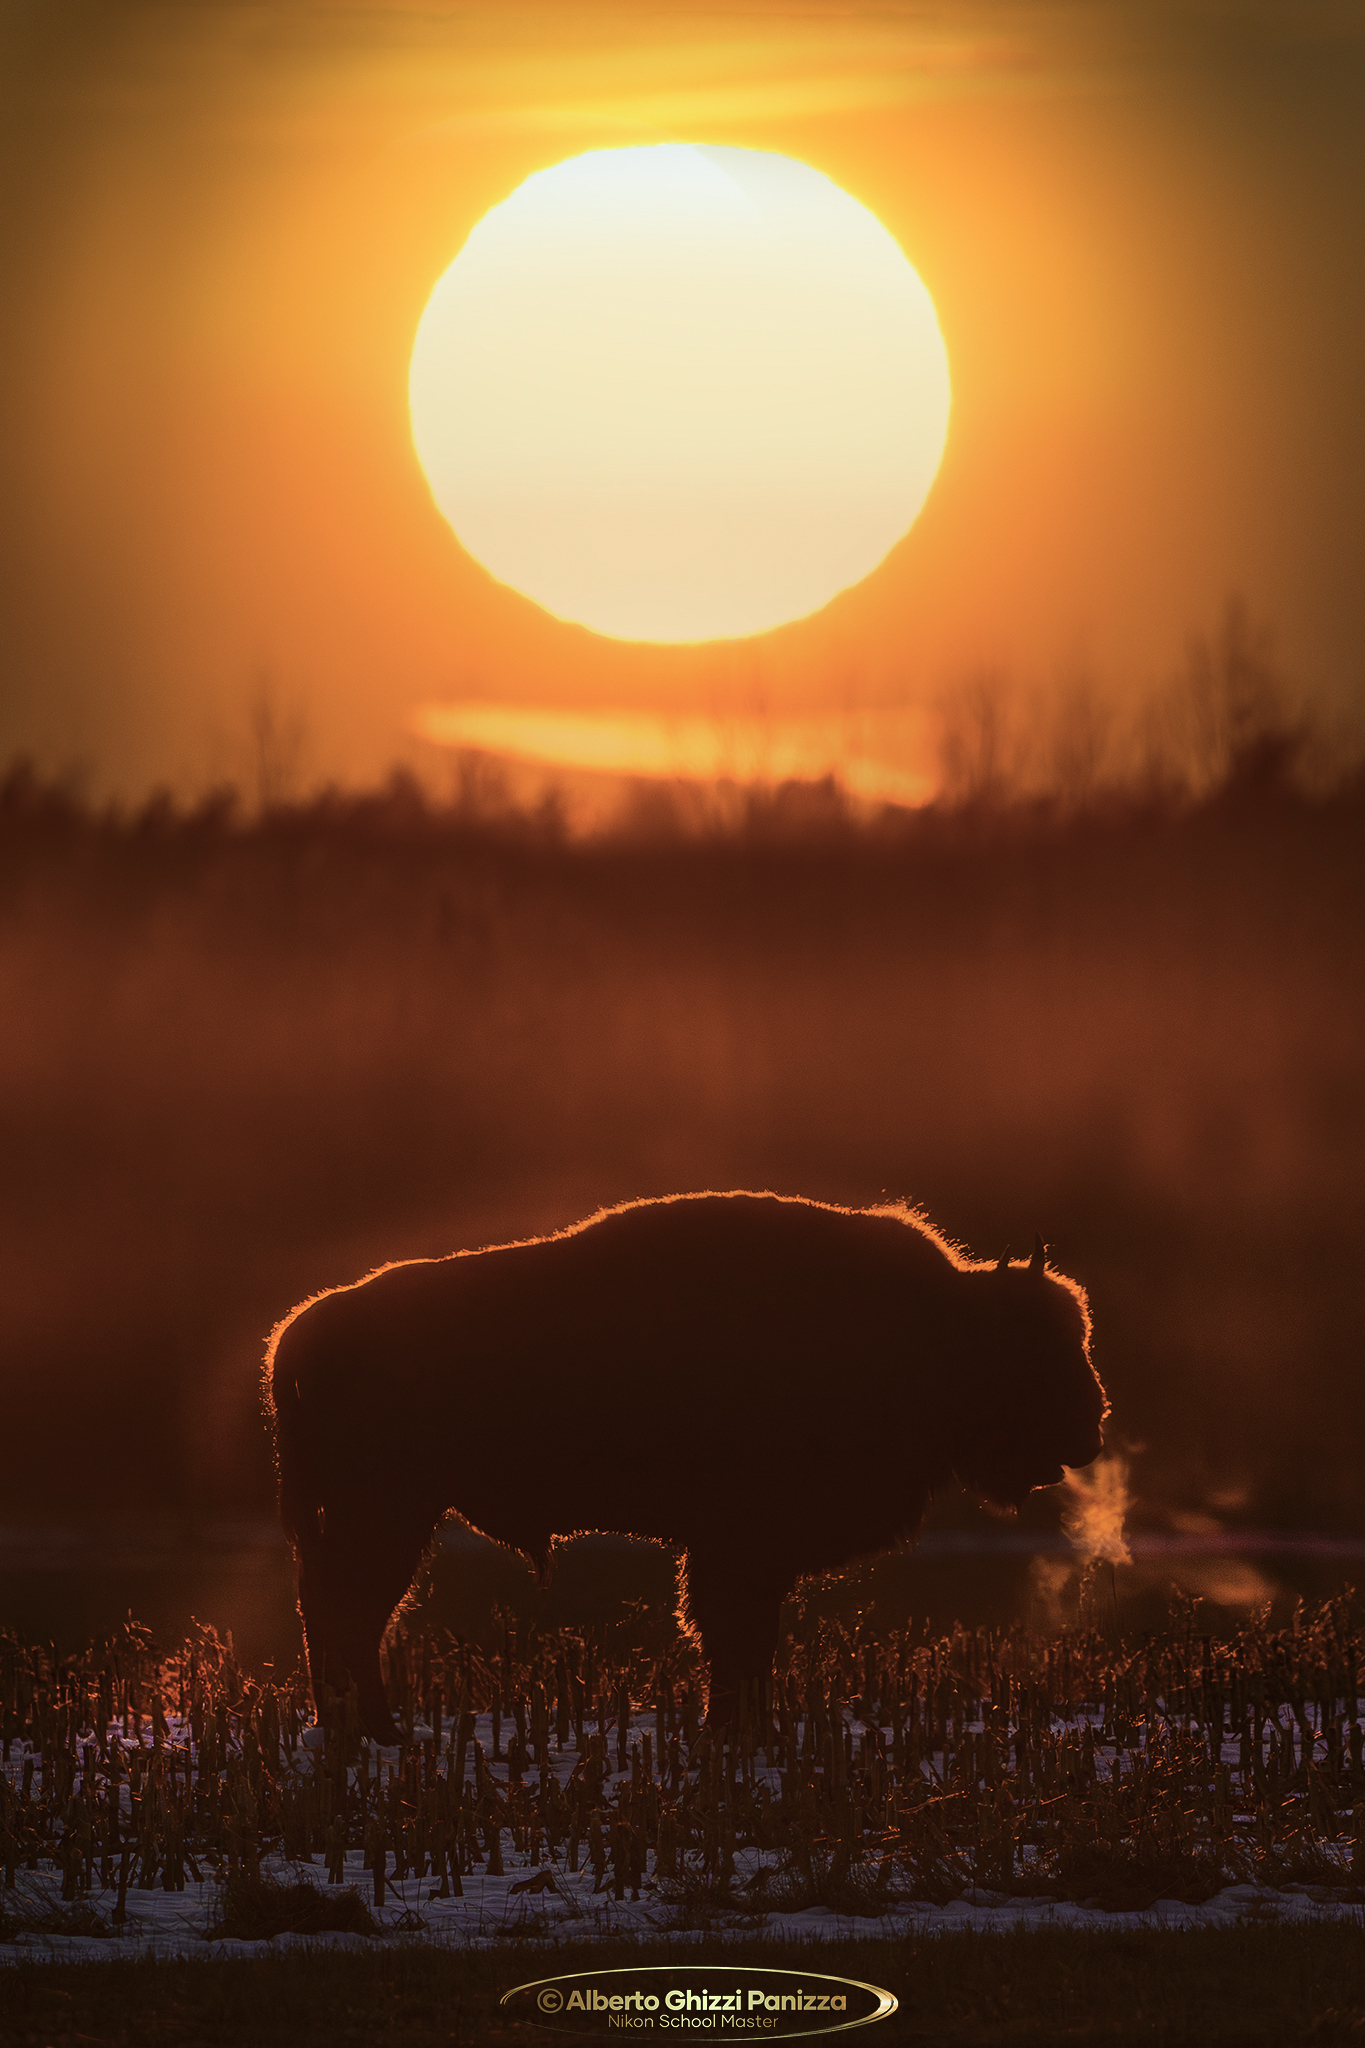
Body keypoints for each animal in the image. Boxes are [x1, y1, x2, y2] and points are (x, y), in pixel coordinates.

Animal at [267, 1192, 1107, 1741]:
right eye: (1037, 1346)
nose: (1090, 1428)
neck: (939, 1327)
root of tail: (302, 1328)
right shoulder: (741, 1546)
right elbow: (733, 1634)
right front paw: (739, 1729)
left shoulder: (737, 1552)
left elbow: (736, 1637)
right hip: (385, 1514)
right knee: (349, 1610)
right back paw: (374, 1732)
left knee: (334, 1610)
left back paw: (359, 1730)